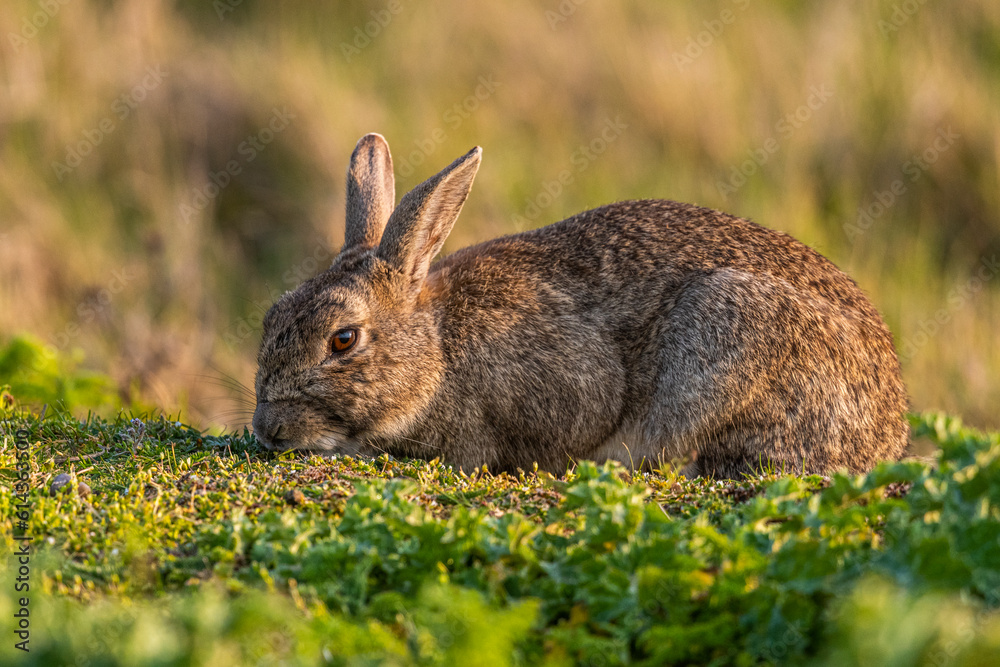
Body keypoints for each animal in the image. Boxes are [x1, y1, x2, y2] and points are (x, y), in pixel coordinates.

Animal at [252, 132, 909, 477]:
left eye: (343, 339)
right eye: (272, 315)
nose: (267, 430)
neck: (438, 350)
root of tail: (888, 432)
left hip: (727, 334)